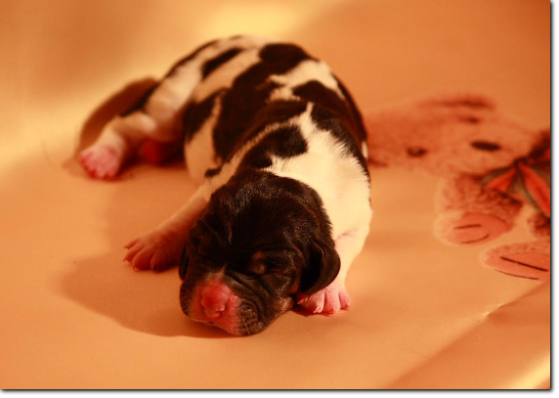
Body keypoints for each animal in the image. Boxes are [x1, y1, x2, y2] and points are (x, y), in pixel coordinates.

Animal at [81, 35, 374, 336]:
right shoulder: (217, 179)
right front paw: (152, 243)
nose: (212, 301)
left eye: (273, 270)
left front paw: (326, 292)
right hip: (170, 97)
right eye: (200, 247)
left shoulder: (359, 211)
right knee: (126, 124)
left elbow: (345, 247)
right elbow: (182, 218)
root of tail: (242, 37)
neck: (296, 168)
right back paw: (101, 158)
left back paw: (156, 151)